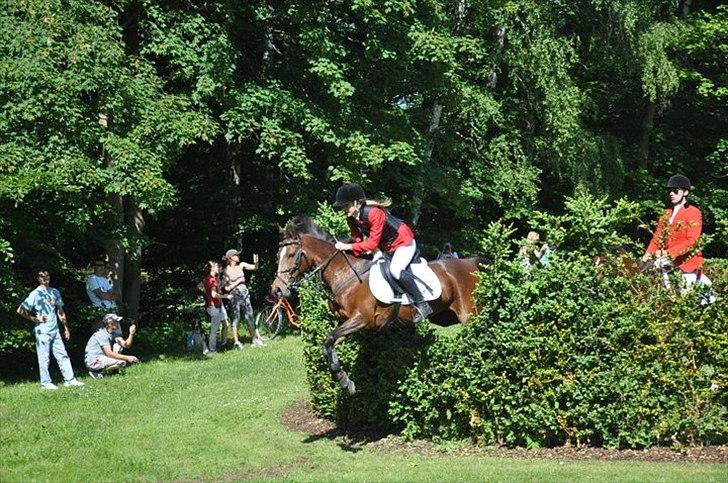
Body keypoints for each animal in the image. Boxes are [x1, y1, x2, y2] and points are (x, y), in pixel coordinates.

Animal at [270, 217, 486, 396]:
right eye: (278, 255)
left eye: (291, 255)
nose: (277, 290)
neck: (347, 274)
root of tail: (471, 263)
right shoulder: (347, 323)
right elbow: (328, 343)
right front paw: (343, 378)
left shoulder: (362, 319)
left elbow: (330, 338)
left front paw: (342, 380)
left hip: (470, 315)